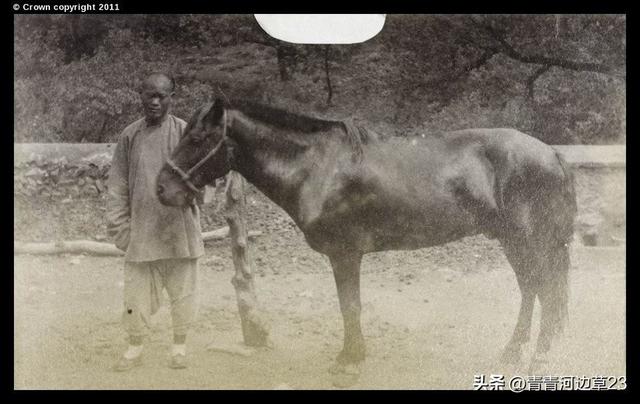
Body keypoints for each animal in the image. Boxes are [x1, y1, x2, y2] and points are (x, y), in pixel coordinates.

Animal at [156, 97, 580, 376]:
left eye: (197, 139)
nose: (162, 189)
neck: (317, 168)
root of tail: (552, 154)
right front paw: (354, 355)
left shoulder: (345, 254)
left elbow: (350, 306)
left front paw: (349, 359)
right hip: (512, 241)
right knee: (531, 289)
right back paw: (512, 353)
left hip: (529, 240)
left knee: (545, 290)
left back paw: (539, 358)